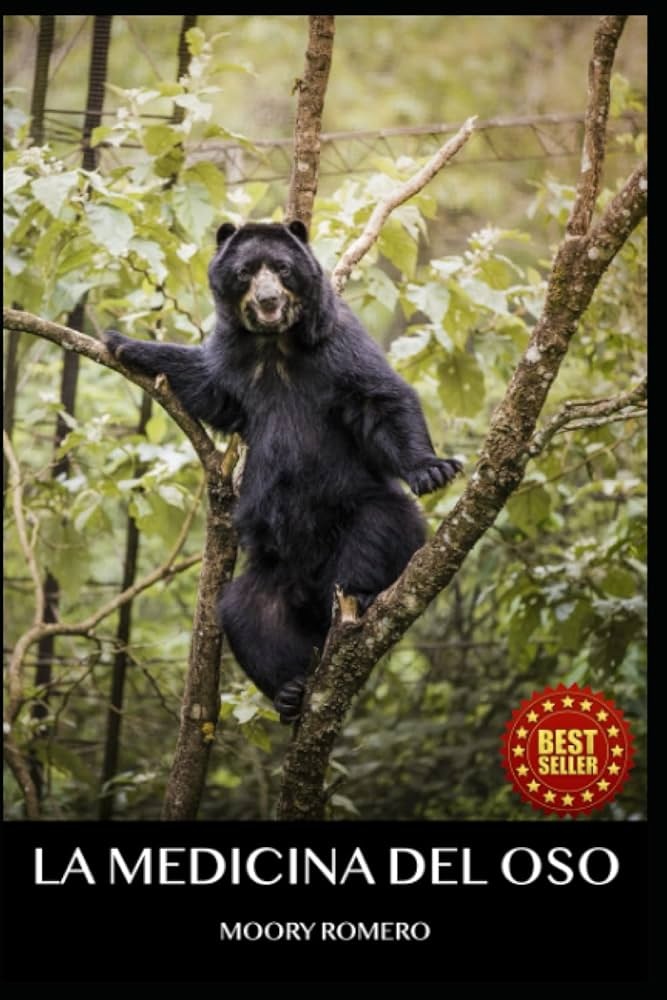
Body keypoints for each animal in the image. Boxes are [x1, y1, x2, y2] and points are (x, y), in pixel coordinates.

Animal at [104, 220, 461, 722]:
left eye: (283, 268)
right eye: (246, 271)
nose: (268, 300)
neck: (275, 345)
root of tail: (309, 589)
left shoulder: (337, 345)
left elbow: (381, 398)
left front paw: (434, 469)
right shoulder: (233, 361)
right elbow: (205, 383)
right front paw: (122, 342)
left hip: (357, 512)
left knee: (382, 526)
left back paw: (363, 597)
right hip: (271, 572)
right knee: (245, 613)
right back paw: (291, 689)